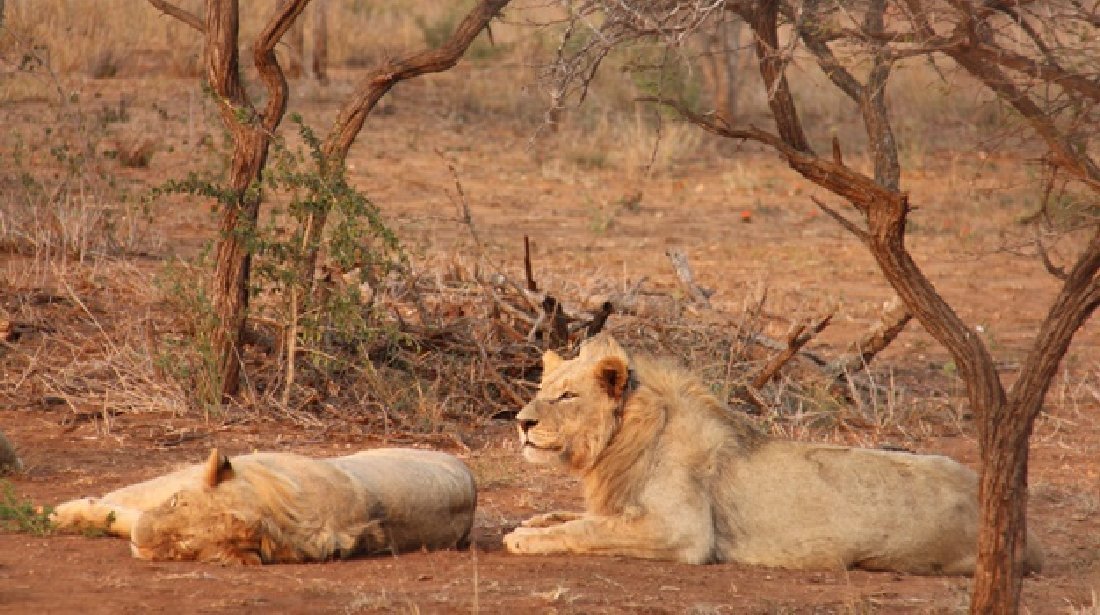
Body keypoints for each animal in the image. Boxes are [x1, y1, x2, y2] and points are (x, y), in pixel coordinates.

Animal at [503, 333, 1043, 575]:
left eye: (567, 396)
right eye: (542, 390)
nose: (522, 422)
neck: (623, 440)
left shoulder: (682, 531)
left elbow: (587, 529)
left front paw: (523, 540)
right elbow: (571, 516)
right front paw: (533, 522)